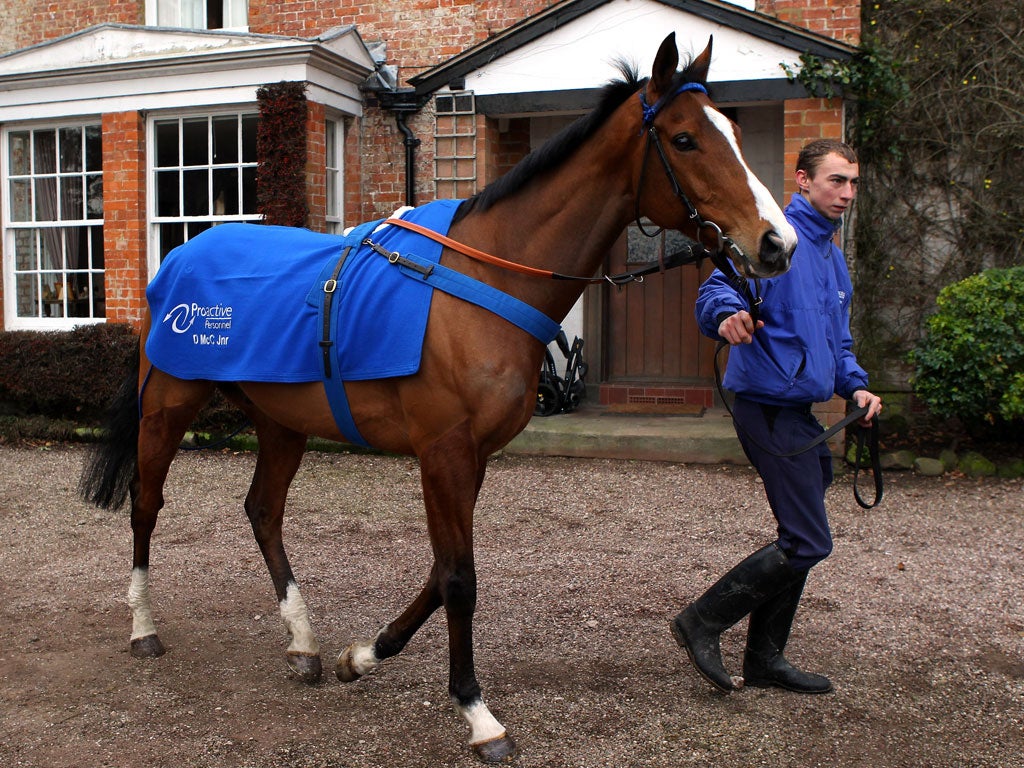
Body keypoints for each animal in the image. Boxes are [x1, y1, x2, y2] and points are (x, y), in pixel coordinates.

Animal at [79, 34, 798, 765]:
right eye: (684, 139)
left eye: (736, 132)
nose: (777, 243)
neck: (486, 278)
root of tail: (184, 253)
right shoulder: (443, 450)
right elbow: (458, 578)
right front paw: (477, 712)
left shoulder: (473, 454)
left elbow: (439, 569)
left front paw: (365, 654)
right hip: (168, 405)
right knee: (145, 504)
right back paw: (143, 627)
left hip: (281, 420)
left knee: (263, 512)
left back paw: (303, 641)